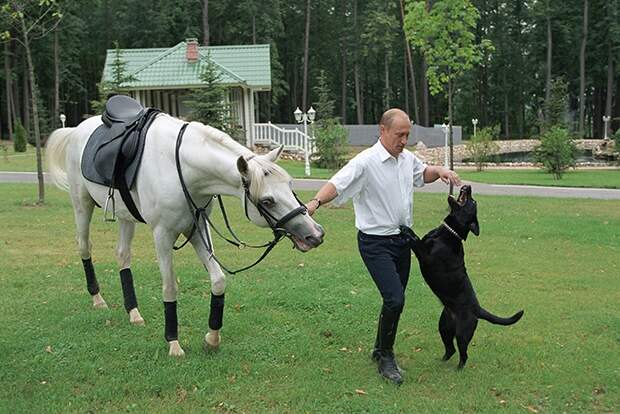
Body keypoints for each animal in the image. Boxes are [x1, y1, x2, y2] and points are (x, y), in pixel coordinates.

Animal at [47, 113, 324, 356]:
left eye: (290, 185)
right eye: (267, 201)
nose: (315, 234)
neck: (183, 170)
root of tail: (77, 130)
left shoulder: (197, 228)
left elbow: (218, 280)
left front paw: (212, 339)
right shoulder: (163, 235)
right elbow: (170, 288)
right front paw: (173, 343)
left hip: (126, 218)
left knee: (123, 256)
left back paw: (133, 312)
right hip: (82, 205)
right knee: (84, 247)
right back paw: (98, 299)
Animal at [402, 184, 524, 368]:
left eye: (473, 202)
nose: (469, 186)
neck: (448, 233)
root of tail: (478, 309)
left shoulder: (427, 256)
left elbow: (416, 241)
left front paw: (405, 232)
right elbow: (416, 236)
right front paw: (406, 228)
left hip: (462, 333)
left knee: (463, 354)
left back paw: (458, 369)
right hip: (444, 327)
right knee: (450, 349)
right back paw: (441, 362)